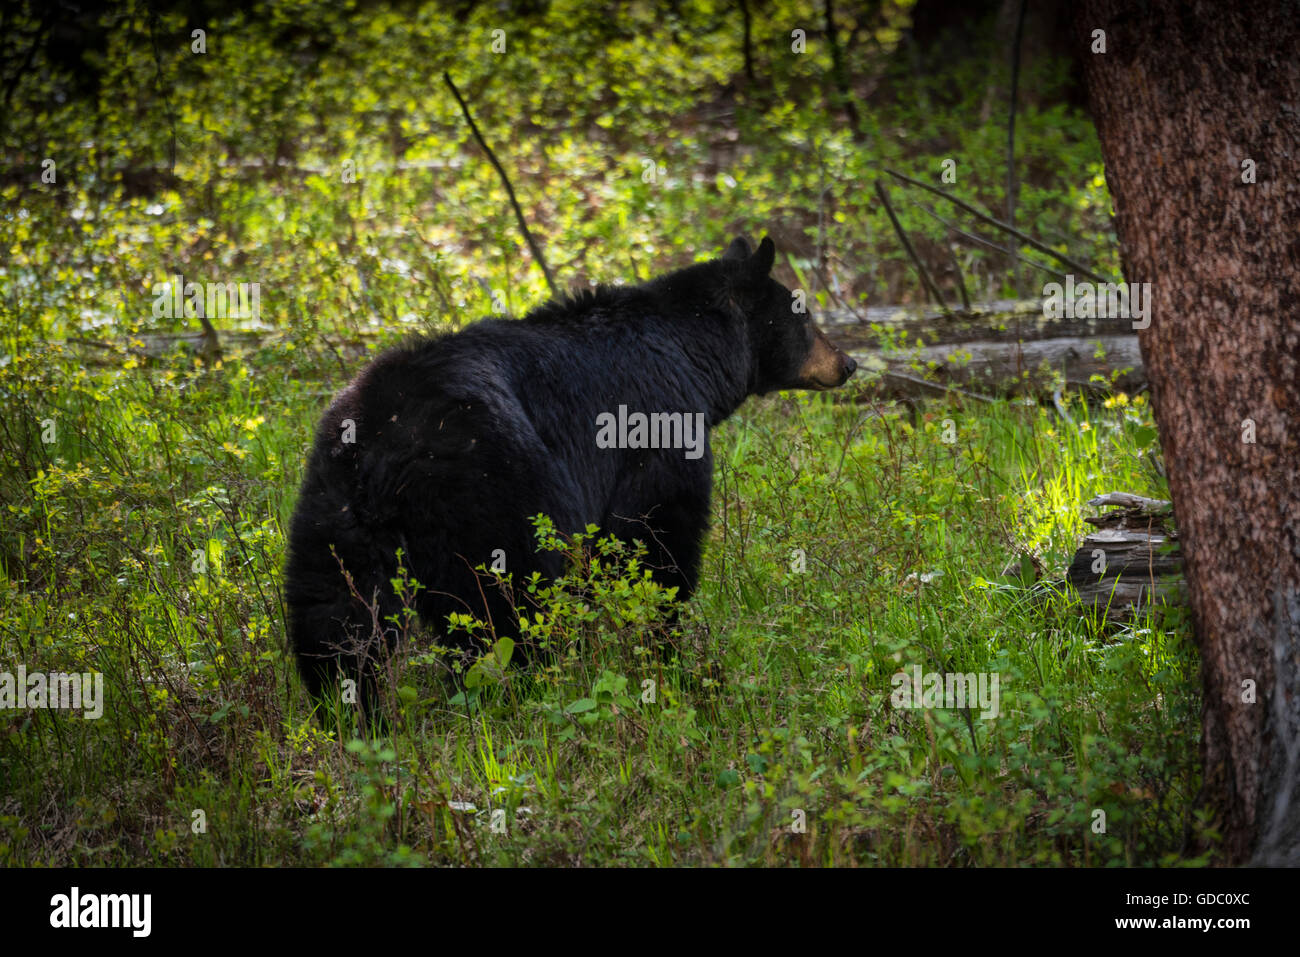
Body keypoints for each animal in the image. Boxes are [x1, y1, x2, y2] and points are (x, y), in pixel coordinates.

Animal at [282, 234, 852, 712]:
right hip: (493, 489)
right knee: (507, 606)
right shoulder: (655, 434)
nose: (847, 363)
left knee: (334, 617)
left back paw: (351, 712)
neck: (692, 354)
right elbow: (657, 543)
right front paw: (668, 655)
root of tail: (384, 445)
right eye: (803, 316)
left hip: (334, 511)